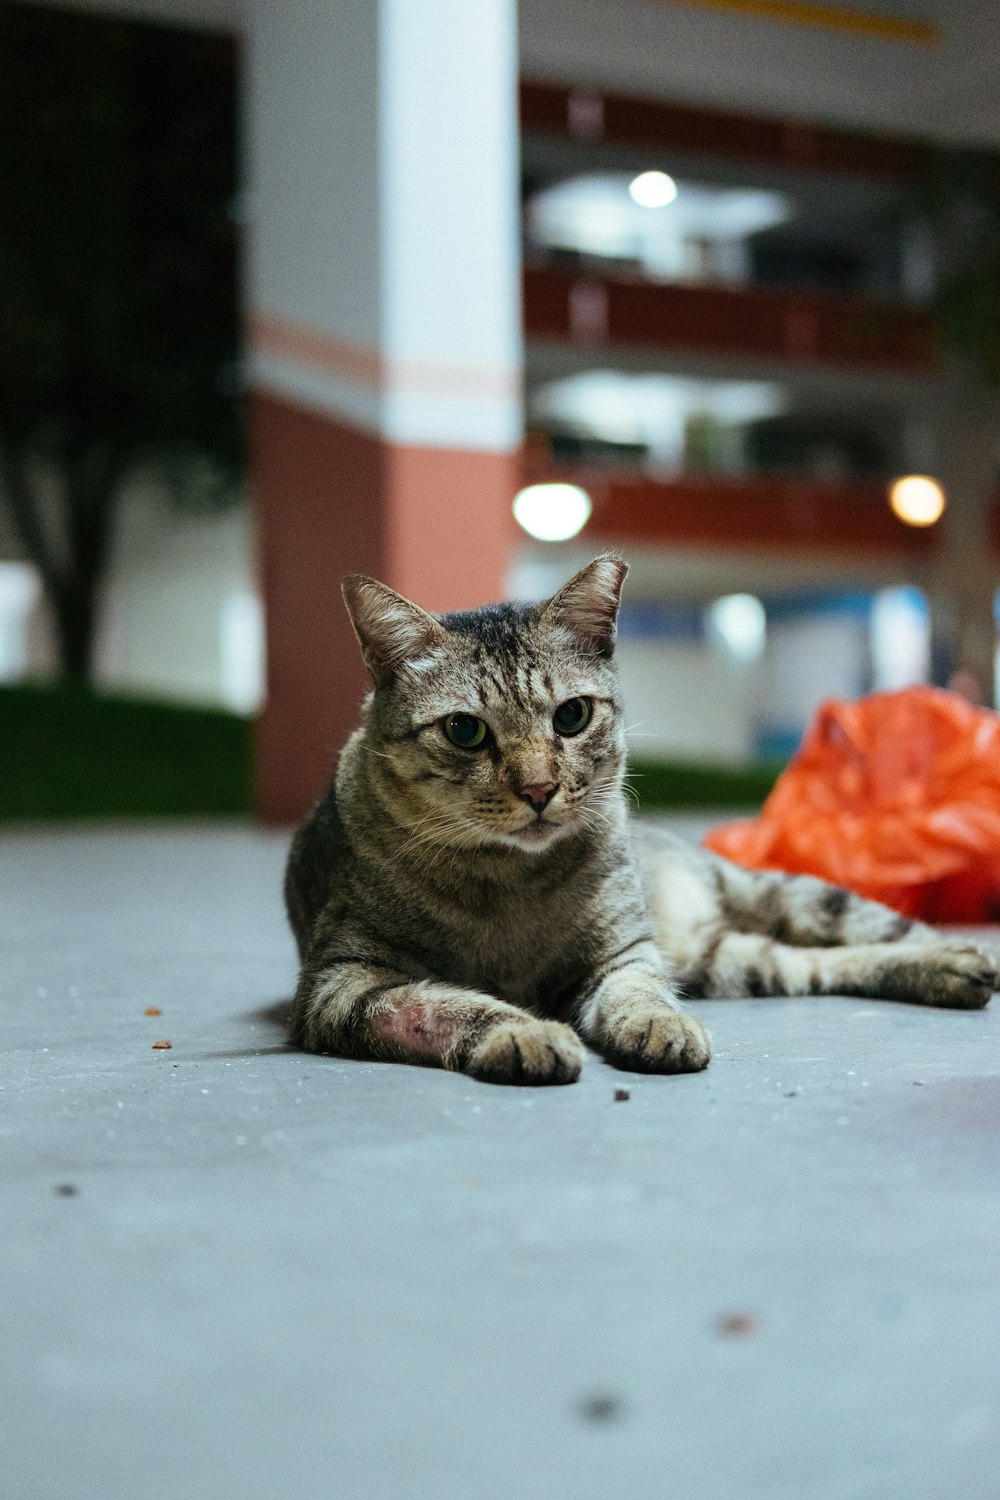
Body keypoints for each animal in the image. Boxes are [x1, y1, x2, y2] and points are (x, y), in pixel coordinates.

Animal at [284, 558, 995, 1086]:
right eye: (465, 731)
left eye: (571, 715)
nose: (539, 789)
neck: (510, 883)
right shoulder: (342, 982)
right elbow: (445, 1004)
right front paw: (523, 1029)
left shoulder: (624, 952)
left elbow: (640, 991)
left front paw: (660, 1025)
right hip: (726, 961)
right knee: (809, 964)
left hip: (785, 897)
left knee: (877, 929)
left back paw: (957, 958)